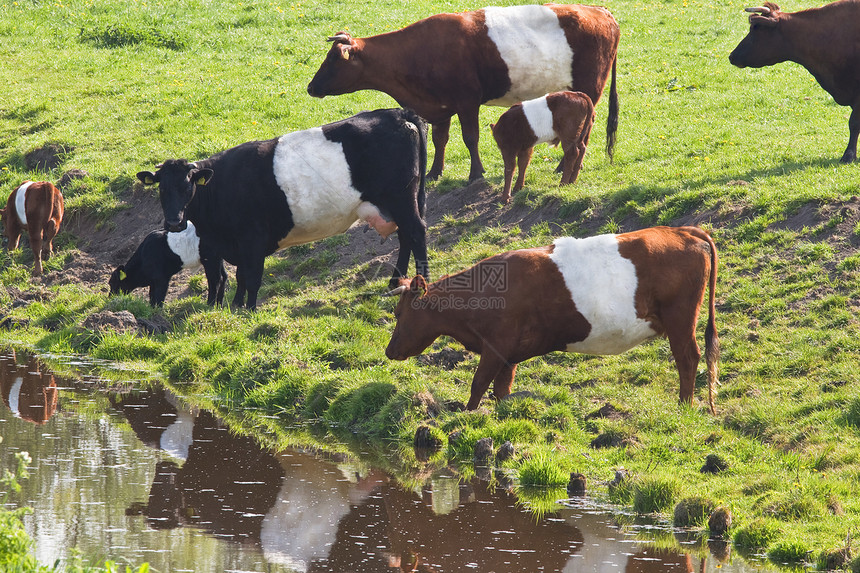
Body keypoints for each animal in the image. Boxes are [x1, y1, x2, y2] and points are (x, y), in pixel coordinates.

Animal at [310, 2, 620, 181]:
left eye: (334, 59)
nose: (311, 87)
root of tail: (600, 10)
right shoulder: (441, 107)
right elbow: (440, 139)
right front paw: (434, 172)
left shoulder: (467, 102)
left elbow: (470, 138)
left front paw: (475, 173)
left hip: (589, 89)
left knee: (584, 131)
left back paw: (565, 168)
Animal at [384, 226, 720, 414]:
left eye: (400, 313)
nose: (389, 351)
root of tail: (684, 230)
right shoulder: (508, 355)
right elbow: (501, 390)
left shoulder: (496, 346)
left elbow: (478, 384)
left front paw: (465, 416)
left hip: (681, 319)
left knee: (688, 358)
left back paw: (683, 407)